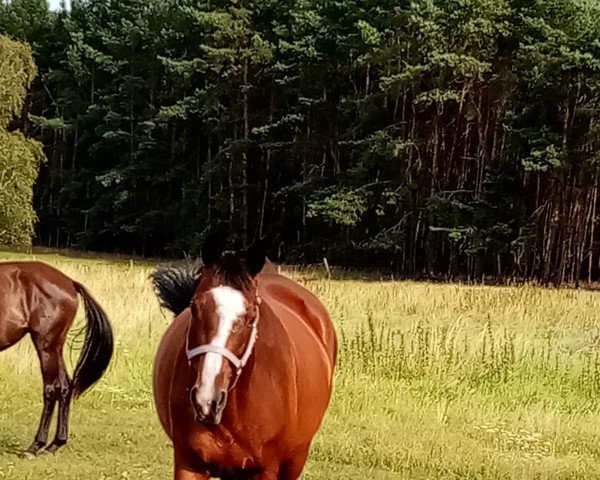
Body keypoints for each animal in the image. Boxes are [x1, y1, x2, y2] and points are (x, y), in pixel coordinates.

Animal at [0, 260, 113, 456]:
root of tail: (70, 283)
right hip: (56, 348)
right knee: (65, 387)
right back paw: (55, 443)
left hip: (46, 346)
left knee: (51, 389)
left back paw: (36, 446)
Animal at [150, 238, 338, 478]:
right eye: (194, 307)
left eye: (251, 316)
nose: (207, 399)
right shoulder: (189, 463)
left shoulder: (266, 469)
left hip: (295, 459)